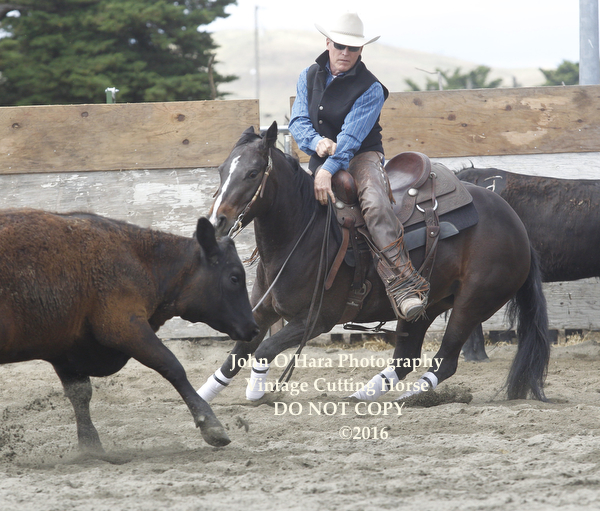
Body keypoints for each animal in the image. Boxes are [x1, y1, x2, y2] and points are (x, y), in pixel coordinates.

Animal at [0, 209, 259, 451]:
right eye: (234, 277)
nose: (254, 328)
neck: (139, 260)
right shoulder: (125, 326)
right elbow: (172, 366)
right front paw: (211, 425)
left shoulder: (67, 351)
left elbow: (79, 394)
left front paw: (90, 446)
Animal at [197, 121, 551, 405]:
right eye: (222, 170)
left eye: (252, 173)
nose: (217, 222)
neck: (302, 233)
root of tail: (515, 222)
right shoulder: (261, 311)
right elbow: (236, 355)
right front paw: (202, 396)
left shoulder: (315, 319)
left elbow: (264, 349)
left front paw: (255, 392)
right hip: (425, 305)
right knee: (405, 359)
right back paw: (363, 395)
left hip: (473, 302)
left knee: (445, 360)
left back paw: (412, 397)